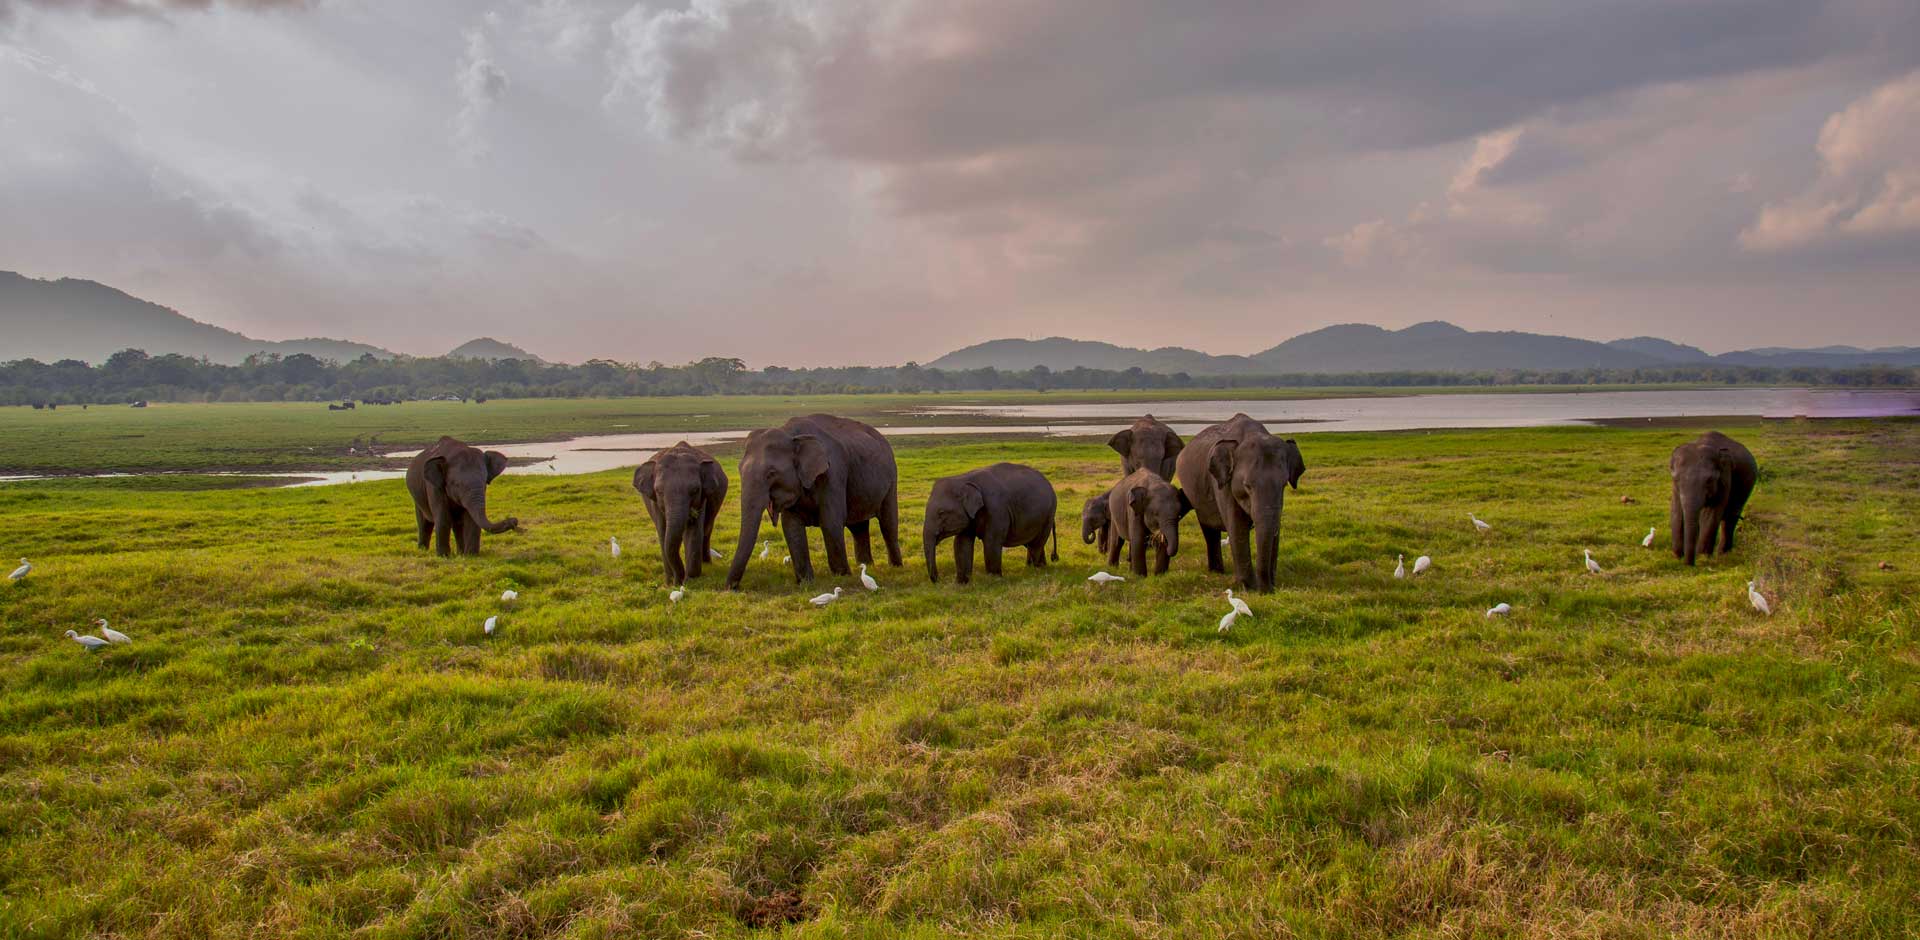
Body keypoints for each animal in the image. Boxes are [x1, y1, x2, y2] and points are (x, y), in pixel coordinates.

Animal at [629, 443, 725, 587]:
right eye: (659, 491)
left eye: (695, 490)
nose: (678, 582)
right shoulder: (655, 503)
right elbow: (663, 533)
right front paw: (670, 583)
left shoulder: (702, 499)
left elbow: (694, 532)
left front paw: (691, 579)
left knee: (706, 531)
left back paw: (707, 564)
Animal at [721, 412, 902, 587]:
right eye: (739, 469)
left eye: (771, 473)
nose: (732, 587)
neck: (791, 435)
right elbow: (791, 527)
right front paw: (806, 582)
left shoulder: (833, 474)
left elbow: (831, 522)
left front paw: (842, 577)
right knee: (858, 527)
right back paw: (866, 566)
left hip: (892, 478)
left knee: (888, 524)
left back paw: (895, 567)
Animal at [917, 460, 1059, 579]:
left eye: (941, 513)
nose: (937, 579)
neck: (963, 479)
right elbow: (961, 543)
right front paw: (962, 583)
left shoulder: (996, 509)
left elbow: (991, 541)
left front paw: (993, 579)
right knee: (1032, 542)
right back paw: (1037, 567)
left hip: (1049, 513)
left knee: (1037, 543)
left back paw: (1035, 570)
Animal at [1167, 412, 1305, 590]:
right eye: (1247, 486)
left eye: (1284, 484)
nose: (1268, 590)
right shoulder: (1222, 482)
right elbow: (1237, 525)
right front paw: (1248, 587)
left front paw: (1270, 584)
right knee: (1208, 528)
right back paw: (1217, 572)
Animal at [1666, 431, 1758, 564]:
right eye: (1676, 479)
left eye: (1709, 480)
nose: (1689, 564)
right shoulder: (1674, 488)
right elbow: (1676, 511)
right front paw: (1677, 555)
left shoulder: (1725, 477)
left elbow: (1711, 514)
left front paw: (1702, 557)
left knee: (1730, 517)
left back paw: (1723, 554)